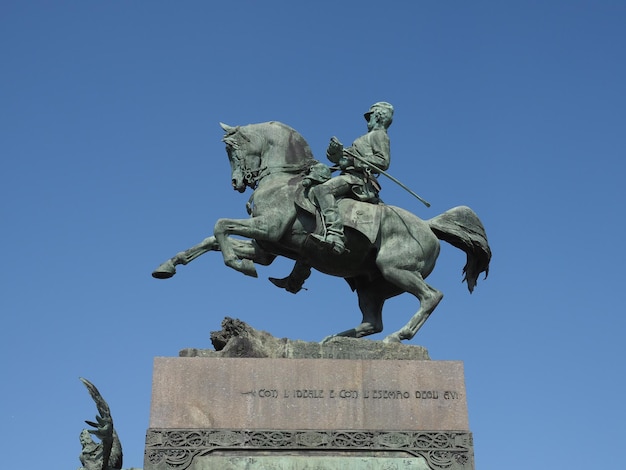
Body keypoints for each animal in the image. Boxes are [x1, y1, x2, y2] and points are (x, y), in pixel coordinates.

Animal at [150, 121, 488, 342]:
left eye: (232, 151)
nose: (237, 183)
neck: (282, 178)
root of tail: (428, 227)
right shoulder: (266, 247)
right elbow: (210, 240)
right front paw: (168, 265)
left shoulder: (268, 229)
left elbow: (219, 225)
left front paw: (239, 264)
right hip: (369, 285)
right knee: (371, 323)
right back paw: (335, 340)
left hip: (395, 269)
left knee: (431, 296)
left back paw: (397, 336)